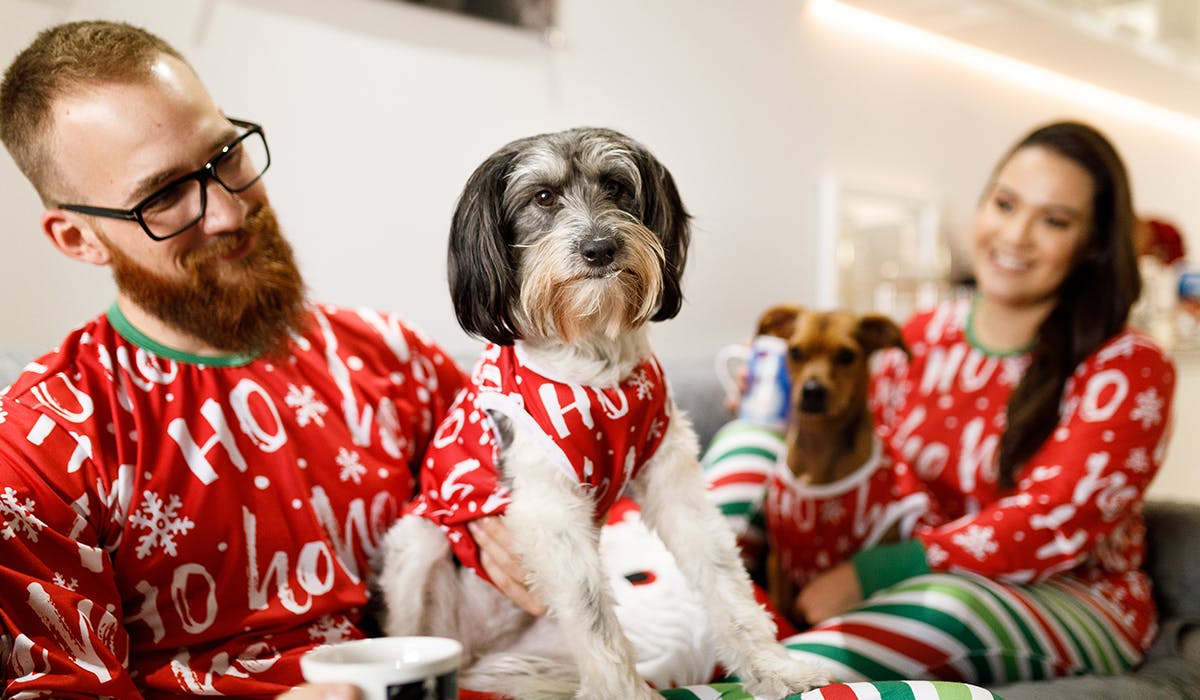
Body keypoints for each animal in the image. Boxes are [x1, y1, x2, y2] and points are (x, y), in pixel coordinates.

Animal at [753, 303, 912, 629]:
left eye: (847, 355)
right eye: (795, 351)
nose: (813, 390)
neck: (820, 446)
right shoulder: (779, 560)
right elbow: (780, 602)